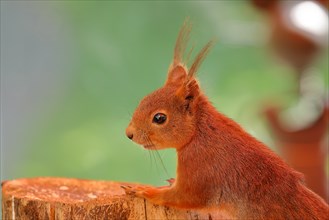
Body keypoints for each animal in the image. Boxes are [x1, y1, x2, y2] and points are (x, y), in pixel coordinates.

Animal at [121, 21, 326, 220]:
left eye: (159, 118)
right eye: (143, 100)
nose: (129, 133)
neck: (200, 132)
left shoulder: (201, 170)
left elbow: (182, 196)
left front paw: (143, 190)